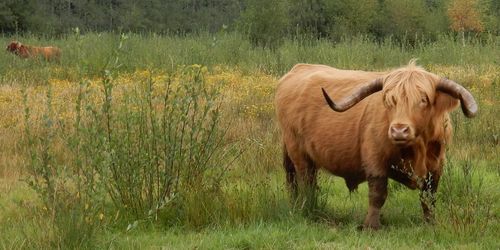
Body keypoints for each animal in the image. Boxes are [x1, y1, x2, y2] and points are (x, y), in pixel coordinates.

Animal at [276, 61, 478, 230]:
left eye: (423, 100)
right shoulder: (375, 160)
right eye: (389, 100)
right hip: (297, 151)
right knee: (304, 180)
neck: (417, 149)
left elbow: (429, 196)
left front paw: (430, 223)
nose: (399, 130)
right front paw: (371, 226)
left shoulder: (436, 166)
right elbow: (377, 194)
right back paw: (304, 207)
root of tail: (298, 68)